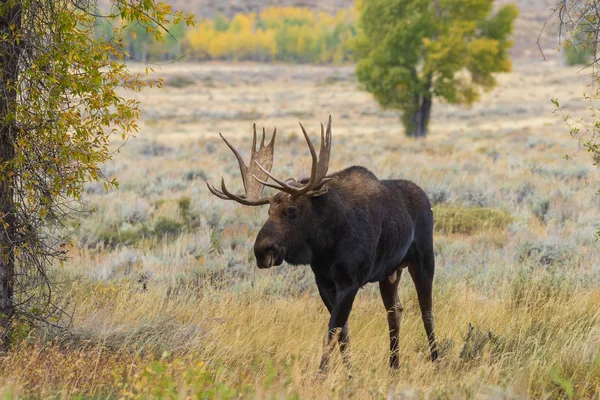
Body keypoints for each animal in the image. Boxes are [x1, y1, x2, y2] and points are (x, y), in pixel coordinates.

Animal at [209, 116, 438, 372]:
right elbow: (342, 334)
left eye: (291, 210)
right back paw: (394, 366)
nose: (261, 250)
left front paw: (321, 374)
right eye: (269, 211)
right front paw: (349, 374)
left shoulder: (349, 282)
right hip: (390, 273)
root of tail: (427, 199)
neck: (326, 244)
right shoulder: (324, 282)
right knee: (395, 311)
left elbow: (331, 333)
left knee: (427, 311)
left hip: (424, 260)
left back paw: (437, 360)